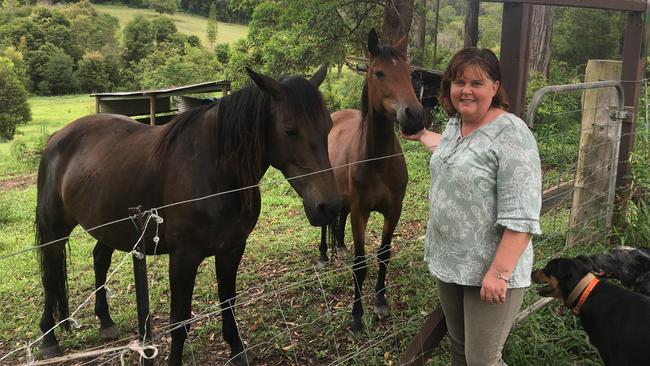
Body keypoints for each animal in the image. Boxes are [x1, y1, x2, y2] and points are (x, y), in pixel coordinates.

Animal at [36, 66, 340, 366]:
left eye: (328, 128)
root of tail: (57, 137)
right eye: (290, 131)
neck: (214, 171)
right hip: (55, 230)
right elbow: (180, 321)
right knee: (50, 275)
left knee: (99, 259)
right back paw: (49, 339)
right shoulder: (184, 258)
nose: (328, 207)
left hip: (110, 224)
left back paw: (105, 321)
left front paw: (238, 350)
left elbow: (228, 302)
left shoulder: (231, 250)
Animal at [318, 28, 426, 332]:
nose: (415, 116)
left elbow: (384, 255)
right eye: (379, 72)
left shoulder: (393, 210)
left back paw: (339, 247)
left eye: (410, 72)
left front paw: (380, 300)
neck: (378, 160)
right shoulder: (361, 212)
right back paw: (323, 254)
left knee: (339, 217)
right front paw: (356, 316)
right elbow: (360, 263)